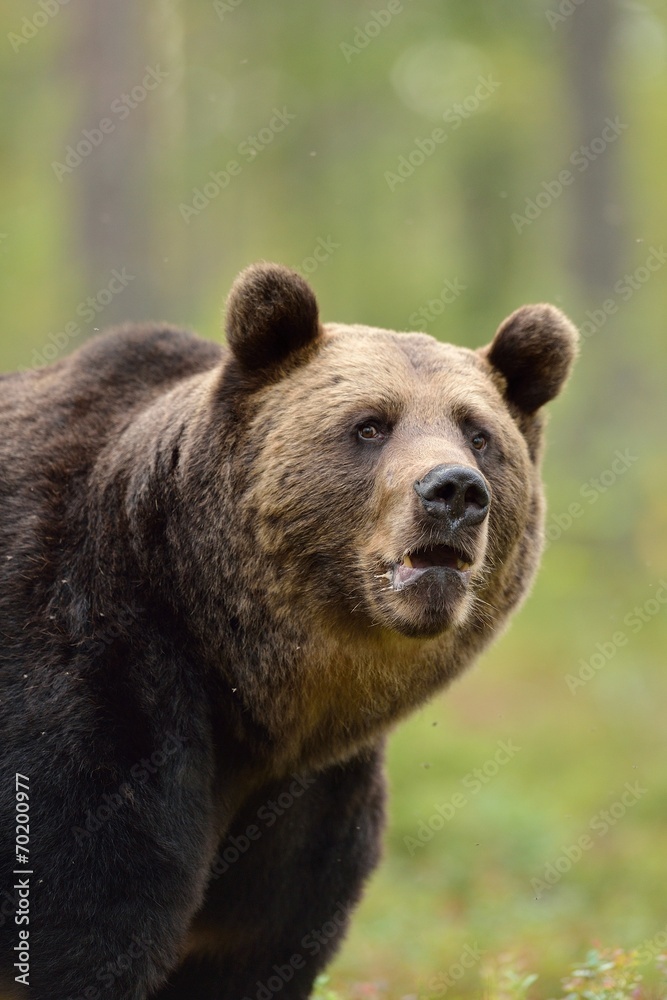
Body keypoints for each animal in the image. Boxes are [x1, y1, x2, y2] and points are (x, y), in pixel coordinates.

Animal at [0, 266, 576, 1000]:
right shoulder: (88, 699)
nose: (454, 491)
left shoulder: (303, 811)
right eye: (369, 425)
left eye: (478, 434)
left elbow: (259, 944)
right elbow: (87, 923)